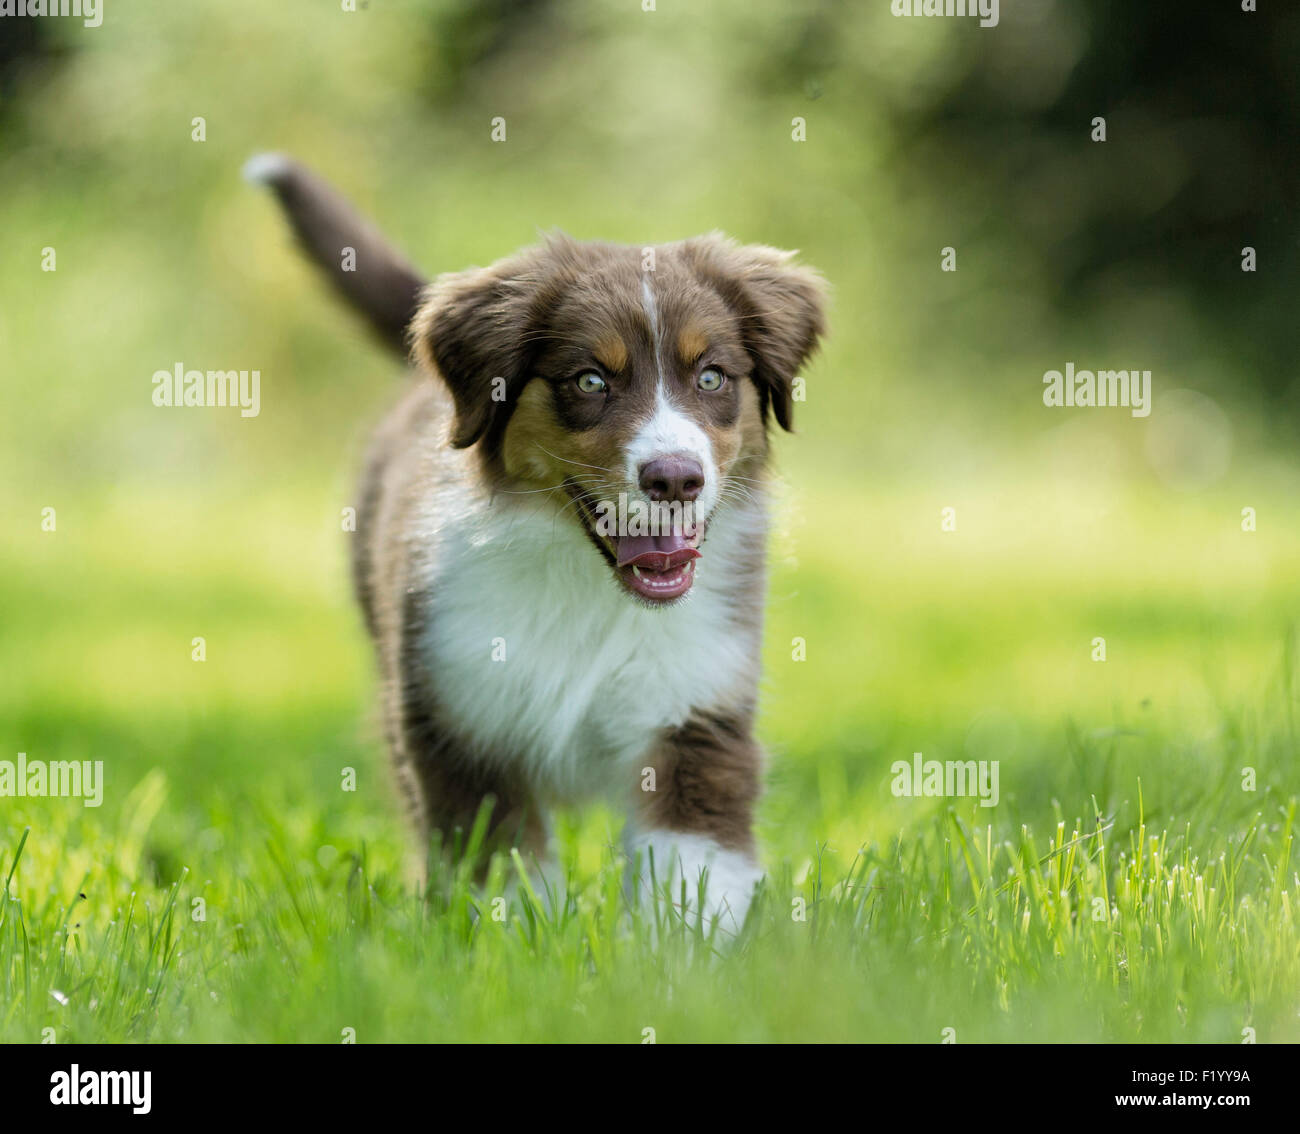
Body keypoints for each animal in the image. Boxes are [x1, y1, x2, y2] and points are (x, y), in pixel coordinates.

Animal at [248, 154, 826, 936]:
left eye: (711, 376)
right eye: (590, 380)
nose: (675, 478)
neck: (585, 582)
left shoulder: (697, 712)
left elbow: (691, 871)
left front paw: (675, 957)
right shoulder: (457, 715)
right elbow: (500, 864)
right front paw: (517, 946)